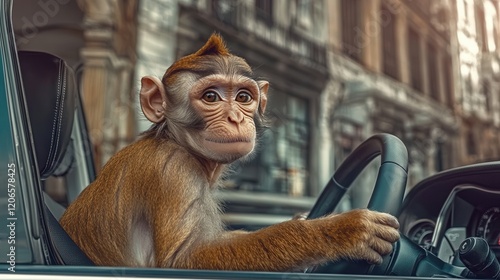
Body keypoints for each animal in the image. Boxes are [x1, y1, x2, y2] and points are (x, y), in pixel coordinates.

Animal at [59, 33, 402, 272]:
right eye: (211, 97)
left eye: (243, 97)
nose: (236, 118)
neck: (175, 140)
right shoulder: (173, 171)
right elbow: (182, 260)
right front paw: (341, 231)